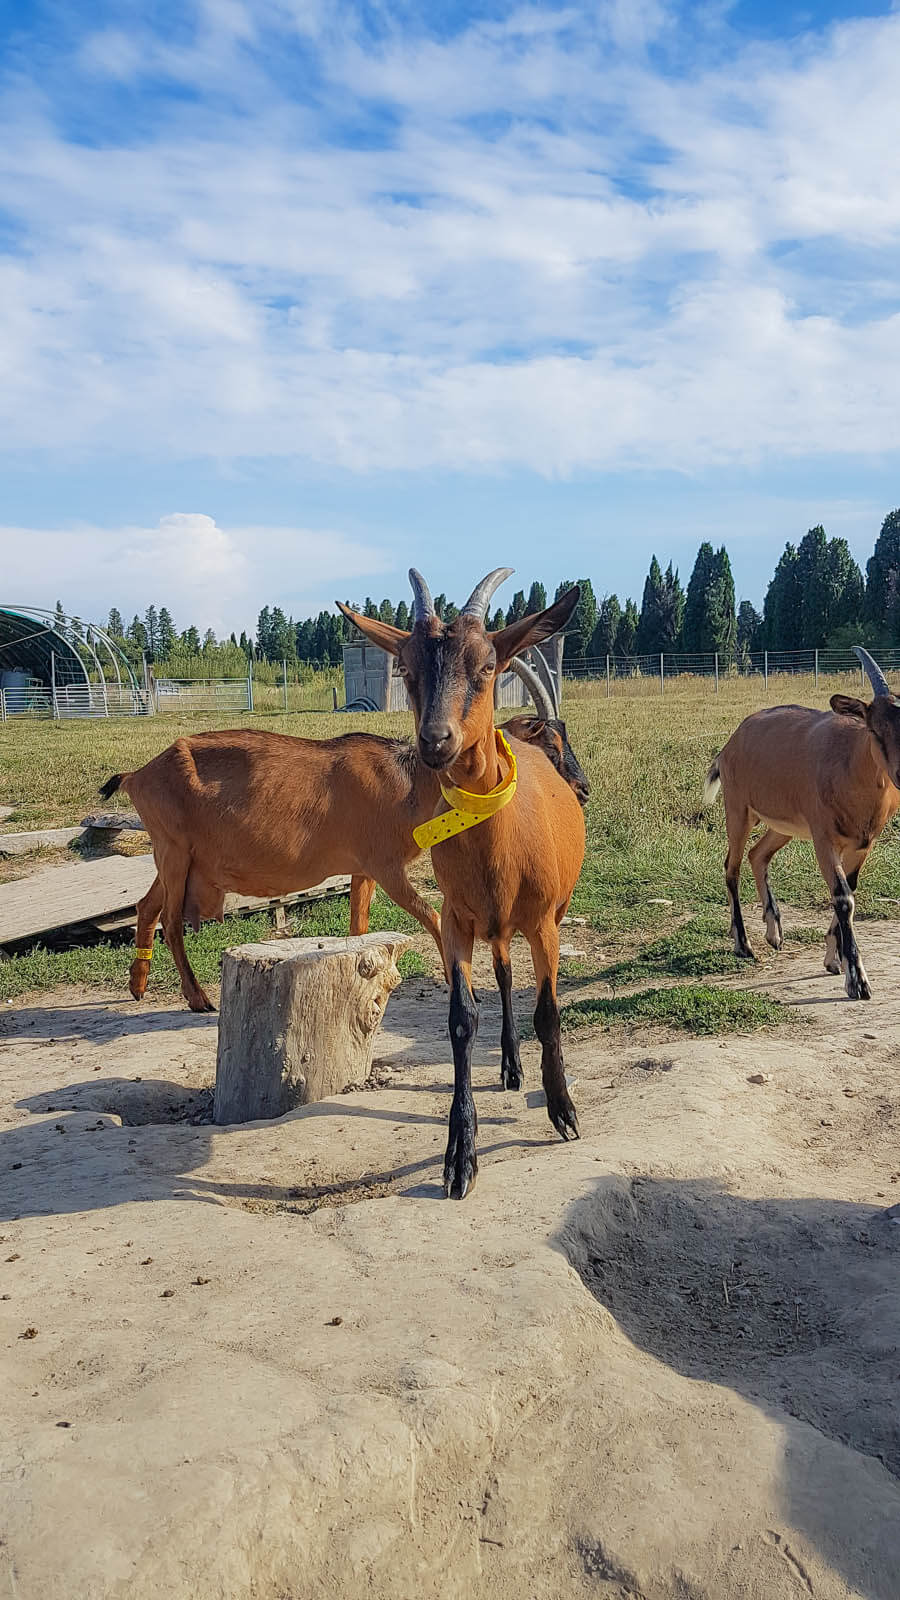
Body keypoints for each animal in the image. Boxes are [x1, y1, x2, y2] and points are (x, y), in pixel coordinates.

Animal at [339, 569, 586, 1196]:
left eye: (487, 664)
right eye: (406, 667)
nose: (436, 740)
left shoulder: (544, 921)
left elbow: (549, 1012)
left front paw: (563, 1110)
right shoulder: (455, 920)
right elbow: (461, 1020)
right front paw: (459, 1156)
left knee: (514, 977)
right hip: (489, 927)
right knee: (502, 973)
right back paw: (509, 1065)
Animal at [701, 640, 896, 992]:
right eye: (874, 730)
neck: (849, 763)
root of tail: (730, 744)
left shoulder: (864, 842)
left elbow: (850, 888)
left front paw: (834, 960)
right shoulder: (823, 837)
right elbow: (843, 897)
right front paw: (857, 980)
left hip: (783, 826)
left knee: (757, 854)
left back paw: (774, 933)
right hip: (738, 809)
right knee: (731, 866)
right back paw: (743, 944)